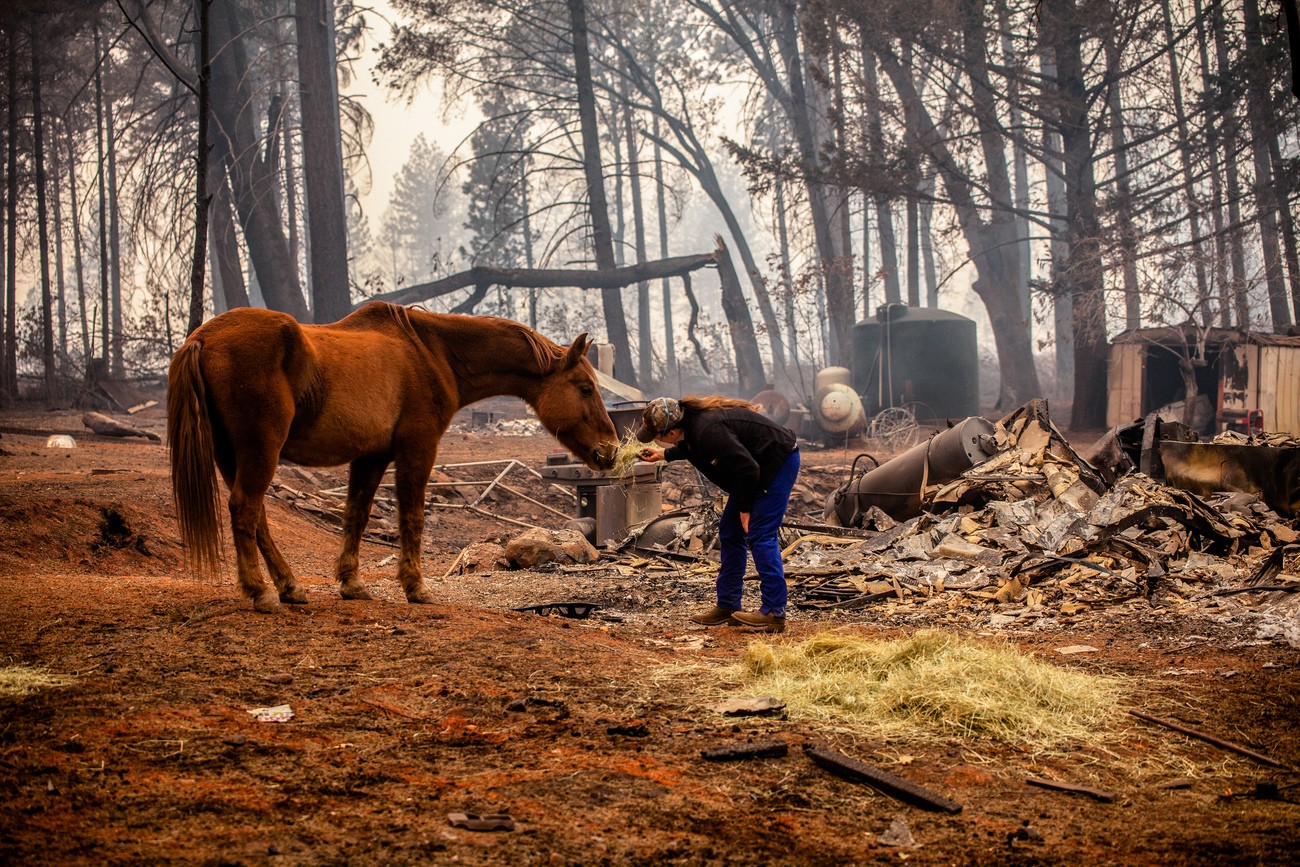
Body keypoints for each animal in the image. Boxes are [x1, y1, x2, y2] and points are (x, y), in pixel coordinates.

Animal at [169, 301, 618, 613]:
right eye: (584, 388)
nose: (611, 451)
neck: (431, 353)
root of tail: (201, 338)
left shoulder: (371, 457)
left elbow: (356, 515)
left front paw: (351, 584)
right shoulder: (417, 448)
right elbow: (412, 516)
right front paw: (416, 587)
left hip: (233, 456)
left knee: (257, 517)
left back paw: (289, 587)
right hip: (260, 450)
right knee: (246, 510)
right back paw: (261, 592)